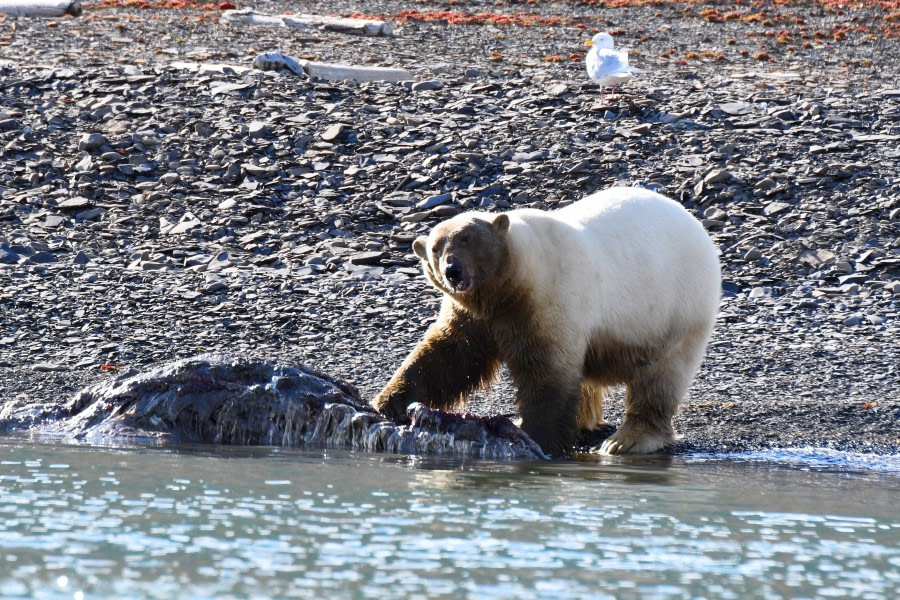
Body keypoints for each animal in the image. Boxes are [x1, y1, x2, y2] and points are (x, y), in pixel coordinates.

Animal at [372, 188, 724, 454]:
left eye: (468, 239)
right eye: (436, 247)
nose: (453, 271)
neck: (514, 282)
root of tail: (694, 223)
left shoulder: (548, 300)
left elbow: (546, 370)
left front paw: (537, 436)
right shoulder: (474, 315)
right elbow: (448, 356)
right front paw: (388, 401)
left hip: (676, 307)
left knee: (661, 375)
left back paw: (627, 440)